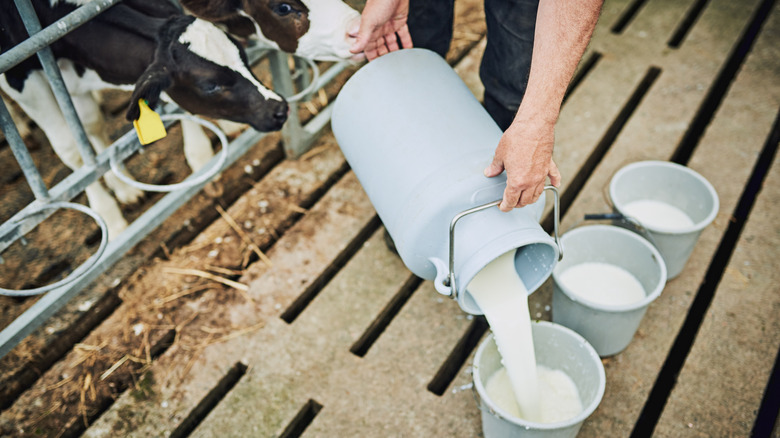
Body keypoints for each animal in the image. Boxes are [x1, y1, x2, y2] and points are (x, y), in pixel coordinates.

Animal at [0, 0, 286, 240]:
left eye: (243, 56)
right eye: (210, 86)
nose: (280, 109)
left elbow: (94, 124)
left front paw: (201, 161)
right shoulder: (24, 80)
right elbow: (74, 151)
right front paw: (111, 218)